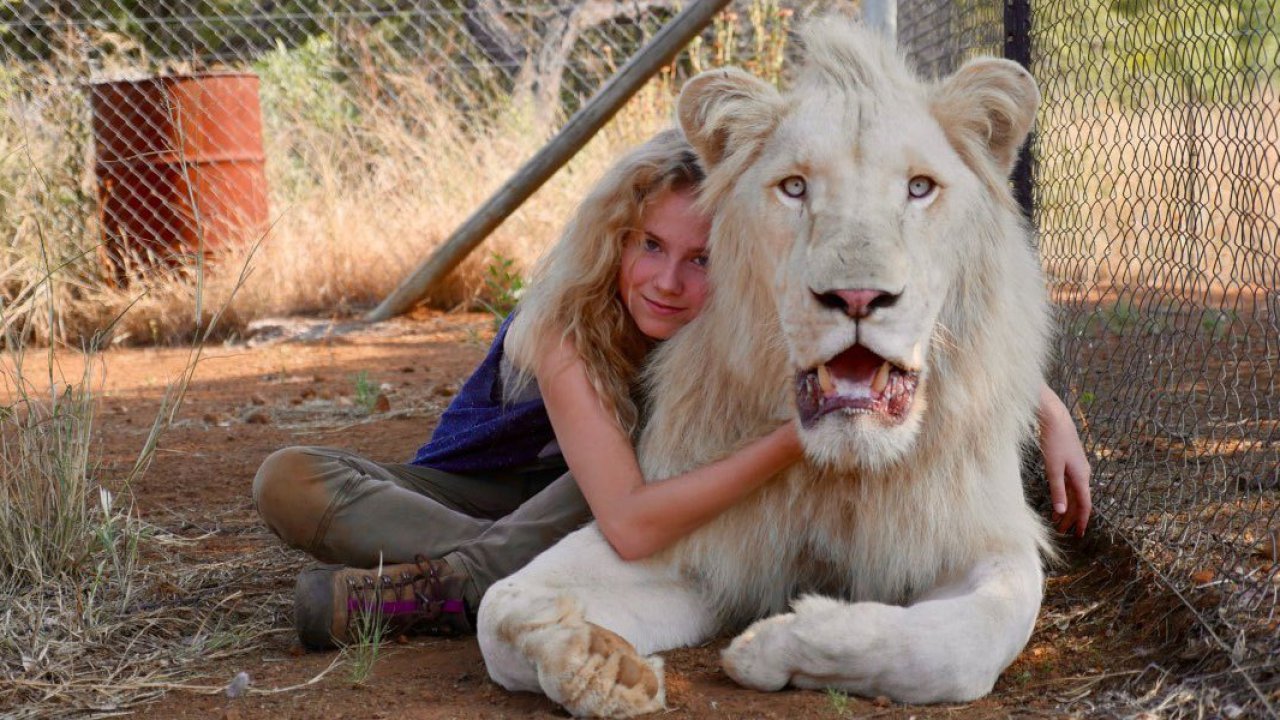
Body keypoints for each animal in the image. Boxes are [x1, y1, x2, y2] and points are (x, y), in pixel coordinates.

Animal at [476, 17, 1054, 718]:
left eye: (919, 187)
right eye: (795, 187)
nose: (857, 296)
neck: (840, 472)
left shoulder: (985, 538)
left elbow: (962, 645)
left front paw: (776, 644)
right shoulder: (689, 536)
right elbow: (499, 607)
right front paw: (599, 665)